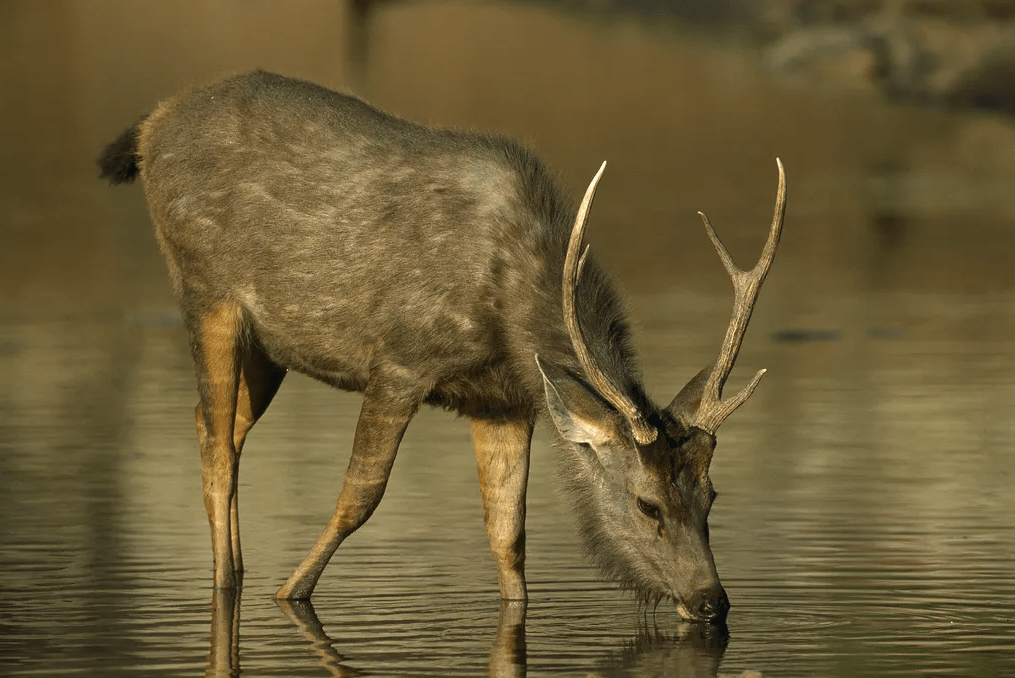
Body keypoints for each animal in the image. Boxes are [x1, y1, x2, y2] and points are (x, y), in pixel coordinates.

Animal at [98, 71, 783, 621]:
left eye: (712, 496)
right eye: (647, 504)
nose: (712, 601)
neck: (509, 311)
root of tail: (150, 125)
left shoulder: (504, 402)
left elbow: (508, 537)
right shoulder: (401, 359)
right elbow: (361, 495)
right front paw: (289, 593)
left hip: (269, 345)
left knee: (215, 425)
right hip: (205, 290)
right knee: (217, 444)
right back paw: (228, 583)